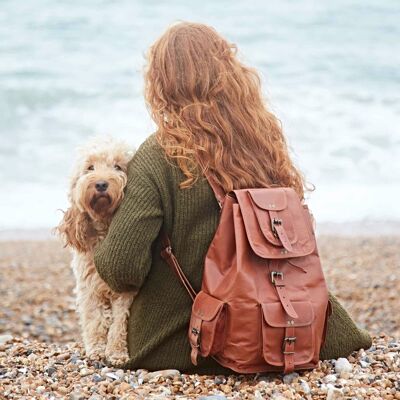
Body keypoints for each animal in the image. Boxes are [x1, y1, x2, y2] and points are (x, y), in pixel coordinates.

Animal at [56, 138, 135, 366]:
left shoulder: (126, 290)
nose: (100, 184)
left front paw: (117, 352)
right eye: (90, 167)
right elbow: (96, 319)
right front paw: (97, 350)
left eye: (117, 167)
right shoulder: (89, 288)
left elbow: (119, 322)